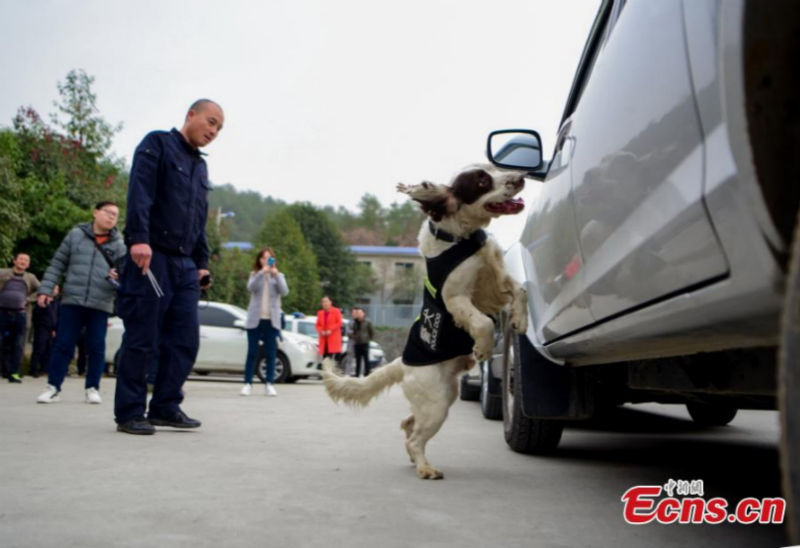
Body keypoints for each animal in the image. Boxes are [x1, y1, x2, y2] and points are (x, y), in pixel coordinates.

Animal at [322, 164, 528, 480]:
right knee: (415, 437)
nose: (520, 177)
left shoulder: (499, 275)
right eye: (482, 180)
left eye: (496, 169)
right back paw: (425, 468)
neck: (461, 238)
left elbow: (520, 291)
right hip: (437, 402)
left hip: (443, 396)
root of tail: (402, 363)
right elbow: (482, 322)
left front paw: (520, 321)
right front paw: (481, 348)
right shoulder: (456, 297)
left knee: (408, 425)